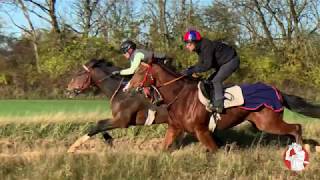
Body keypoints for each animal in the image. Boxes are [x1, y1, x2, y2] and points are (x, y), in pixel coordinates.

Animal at [127, 60, 320, 152]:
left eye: (140, 72)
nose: (126, 87)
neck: (180, 96)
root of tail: (276, 91)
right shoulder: (174, 128)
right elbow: (163, 148)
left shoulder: (202, 131)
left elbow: (215, 151)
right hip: (263, 124)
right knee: (293, 130)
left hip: (268, 123)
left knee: (296, 127)